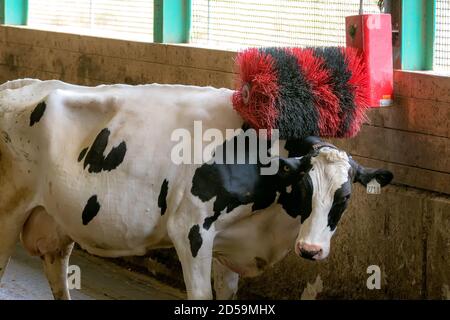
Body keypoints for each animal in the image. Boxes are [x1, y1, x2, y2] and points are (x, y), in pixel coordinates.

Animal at [0, 79, 392, 298]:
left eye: (344, 196)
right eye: (304, 189)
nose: (311, 250)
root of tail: (18, 84)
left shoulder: (230, 244)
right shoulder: (190, 229)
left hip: (55, 222)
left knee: (57, 274)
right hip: (8, 211)